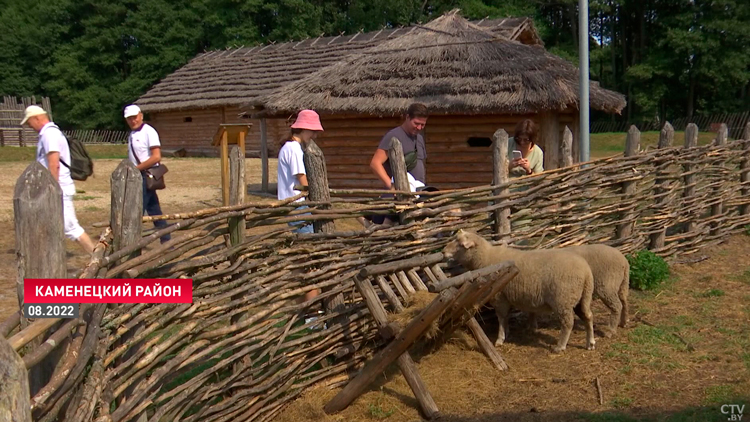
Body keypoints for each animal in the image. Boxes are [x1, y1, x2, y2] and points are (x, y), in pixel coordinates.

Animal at [444, 229, 596, 352]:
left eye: (460, 243)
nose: (443, 251)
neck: (485, 258)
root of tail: (586, 271)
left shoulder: (499, 296)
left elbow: (501, 317)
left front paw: (500, 339)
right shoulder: (505, 297)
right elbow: (505, 318)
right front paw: (507, 332)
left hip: (562, 299)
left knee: (568, 323)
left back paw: (560, 346)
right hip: (582, 297)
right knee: (588, 316)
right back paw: (590, 343)